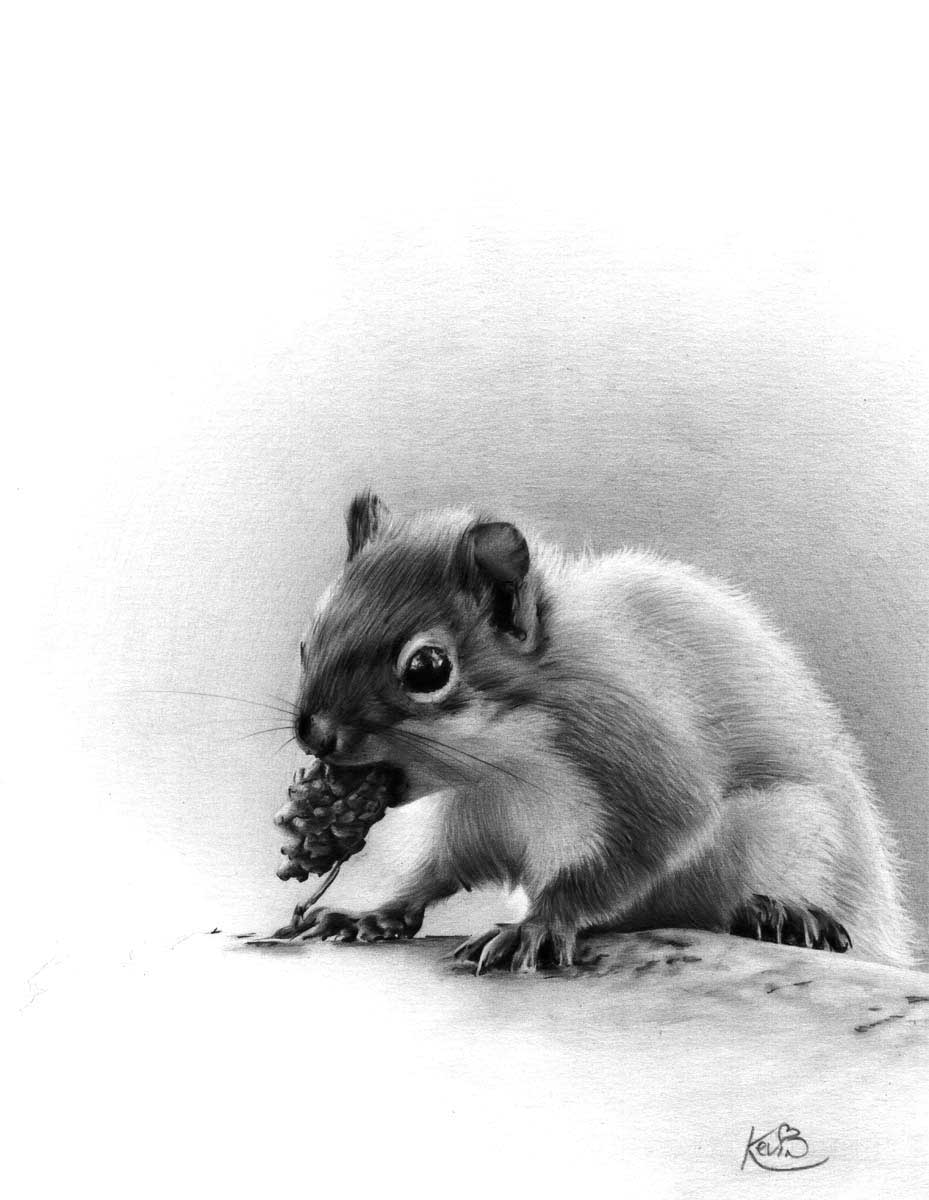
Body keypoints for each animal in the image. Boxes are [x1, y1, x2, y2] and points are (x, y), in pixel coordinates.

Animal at [284, 490, 917, 973]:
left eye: (427, 668)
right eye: (306, 642)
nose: (315, 734)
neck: (501, 763)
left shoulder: (629, 748)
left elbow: (640, 849)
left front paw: (538, 925)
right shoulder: (470, 818)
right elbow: (435, 873)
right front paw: (373, 912)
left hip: (797, 833)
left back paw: (787, 913)